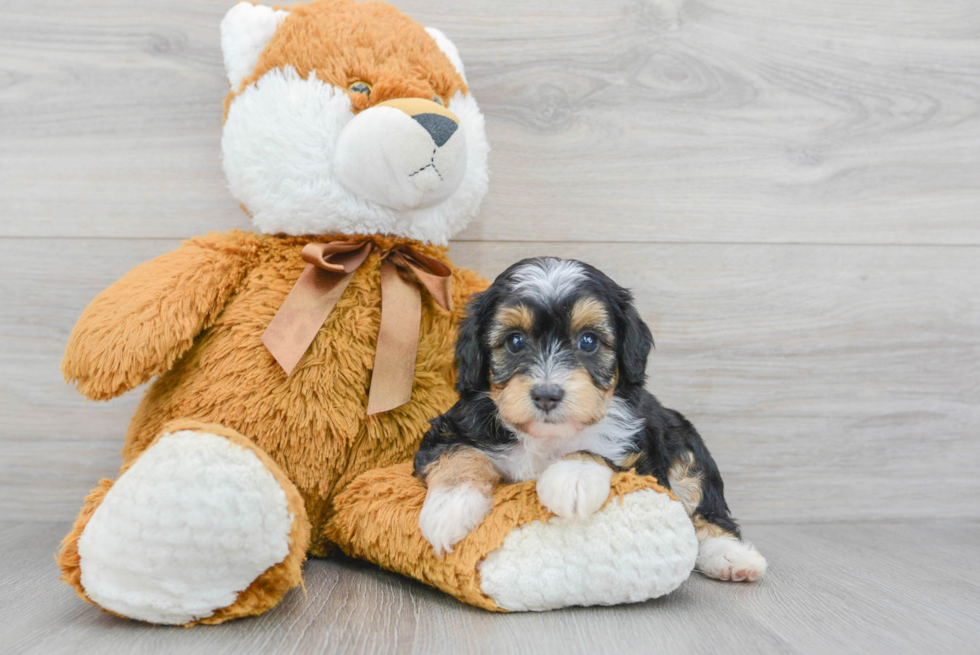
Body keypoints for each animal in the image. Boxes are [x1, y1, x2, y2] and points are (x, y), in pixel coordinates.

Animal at [414, 258, 764, 580]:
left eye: (588, 341)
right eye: (515, 341)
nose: (547, 394)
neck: (549, 438)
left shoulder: (644, 460)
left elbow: (600, 453)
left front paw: (573, 477)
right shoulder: (448, 427)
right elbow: (459, 453)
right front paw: (450, 506)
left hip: (682, 440)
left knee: (705, 506)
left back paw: (731, 556)